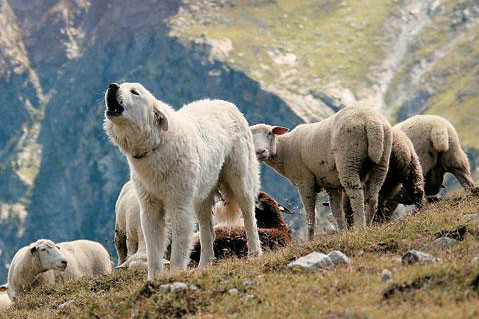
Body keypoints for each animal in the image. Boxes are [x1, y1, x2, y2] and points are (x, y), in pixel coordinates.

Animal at [104, 83, 262, 282]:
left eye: (135, 92)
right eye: (121, 85)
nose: (112, 86)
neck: (157, 145)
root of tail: (228, 104)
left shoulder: (179, 206)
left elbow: (178, 250)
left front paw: (175, 275)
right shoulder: (150, 208)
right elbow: (153, 252)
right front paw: (153, 280)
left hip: (240, 181)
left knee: (249, 217)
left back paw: (254, 254)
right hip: (201, 198)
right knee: (207, 231)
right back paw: (204, 266)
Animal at [249, 106, 392, 239]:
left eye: (269, 133)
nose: (260, 152)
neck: (283, 150)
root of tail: (371, 121)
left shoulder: (304, 180)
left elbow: (310, 214)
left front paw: (310, 238)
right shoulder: (331, 184)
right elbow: (336, 211)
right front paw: (343, 231)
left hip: (348, 159)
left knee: (356, 194)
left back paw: (360, 227)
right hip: (382, 161)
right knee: (373, 197)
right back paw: (368, 225)